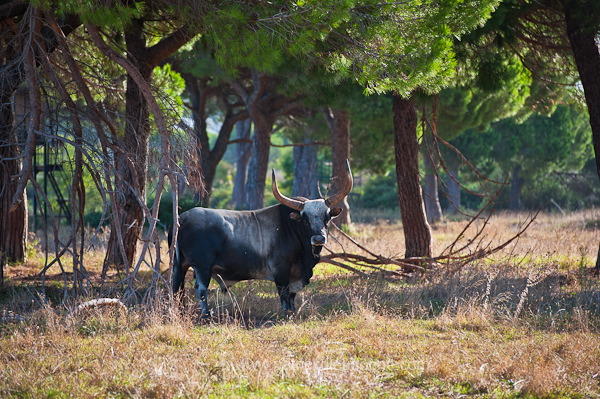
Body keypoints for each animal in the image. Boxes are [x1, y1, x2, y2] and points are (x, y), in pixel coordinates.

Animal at [171, 161, 352, 318]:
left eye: (327, 218)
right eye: (305, 219)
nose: (319, 238)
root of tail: (183, 217)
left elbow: (292, 296)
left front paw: (293, 312)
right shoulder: (281, 272)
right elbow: (284, 295)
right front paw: (286, 314)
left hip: (180, 265)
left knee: (177, 288)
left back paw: (180, 313)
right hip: (202, 267)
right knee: (200, 289)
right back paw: (206, 315)